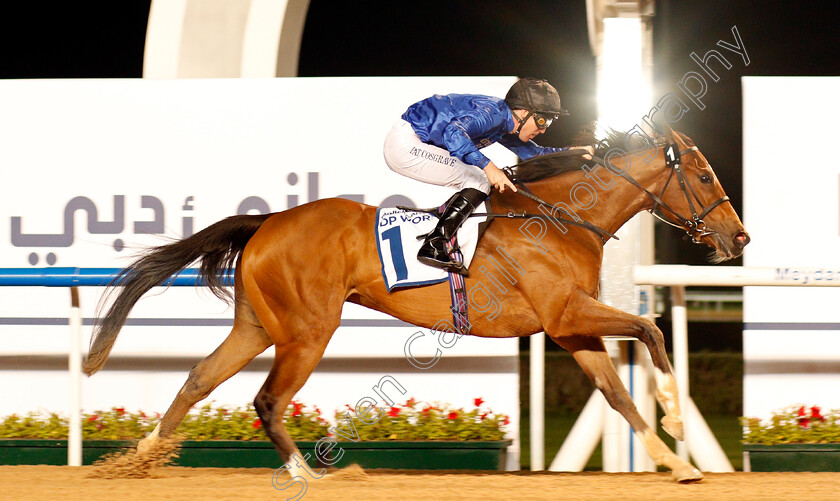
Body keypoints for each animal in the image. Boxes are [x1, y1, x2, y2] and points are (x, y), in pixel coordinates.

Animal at [82, 127, 748, 482]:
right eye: (706, 177)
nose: (739, 239)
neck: (563, 218)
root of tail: (267, 221)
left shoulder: (568, 327)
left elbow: (615, 390)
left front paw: (675, 461)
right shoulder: (566, 314)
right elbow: (650, 329)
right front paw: (677, 421)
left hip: (258, 326)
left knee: (200, 377)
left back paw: (140, 457)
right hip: (308, 330)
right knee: (267, 400)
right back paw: (308, 475)